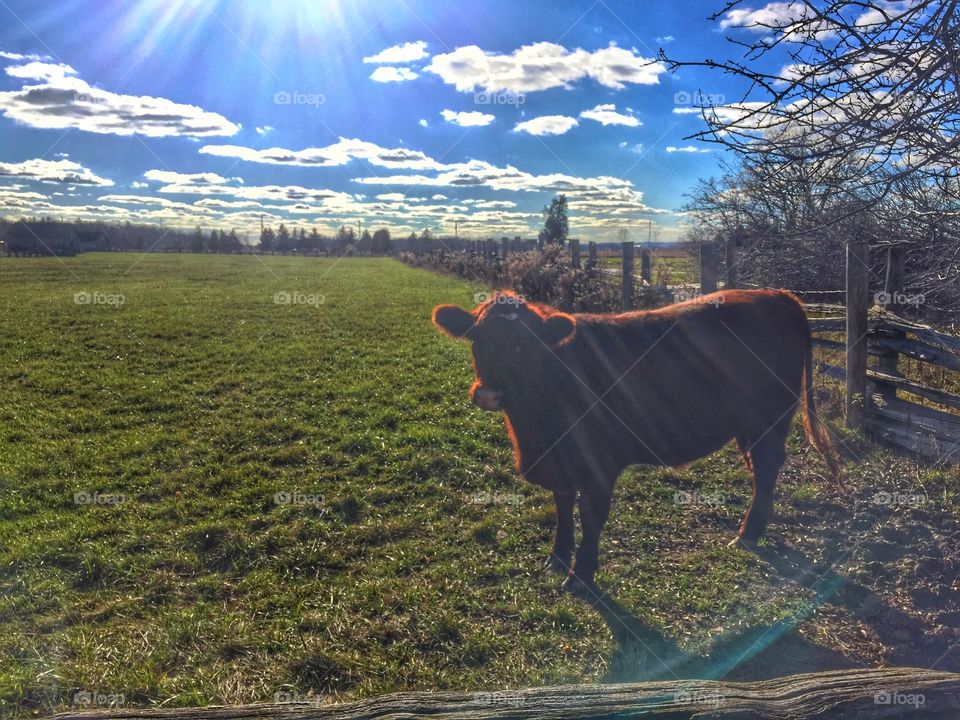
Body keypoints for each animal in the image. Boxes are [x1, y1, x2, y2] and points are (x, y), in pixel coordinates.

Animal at [433, 289, 841, 599]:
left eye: (524, 344)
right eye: (477, 338)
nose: (488, 394)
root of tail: (777, 294)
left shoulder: (599, 465)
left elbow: (591, 517)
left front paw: (581, 576)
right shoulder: (560, 462)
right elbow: (562, 507)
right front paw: (558, 557)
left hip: (771, 419)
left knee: (768, 466)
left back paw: (748, 534)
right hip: (749, 425)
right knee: (761, 468)